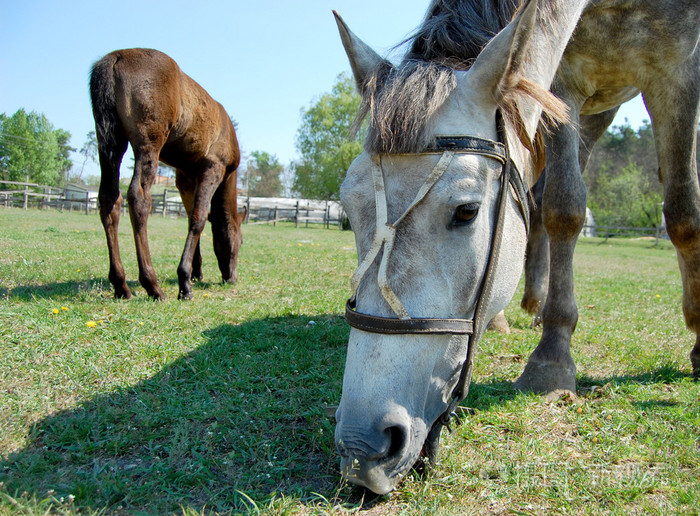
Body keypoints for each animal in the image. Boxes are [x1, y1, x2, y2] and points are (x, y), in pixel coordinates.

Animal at [89, 48, 245, 300]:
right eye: (241, 240)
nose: (232, 277)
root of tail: (116, 57)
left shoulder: (185, 178)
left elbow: (192, 217)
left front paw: (195, 272)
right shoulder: (213, 167)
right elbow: (199, 218)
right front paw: (185, 282)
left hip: (110, 143)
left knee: (109, 199)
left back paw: (121, 284)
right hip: (148, 143)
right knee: (138, 198)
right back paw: (152, 285)